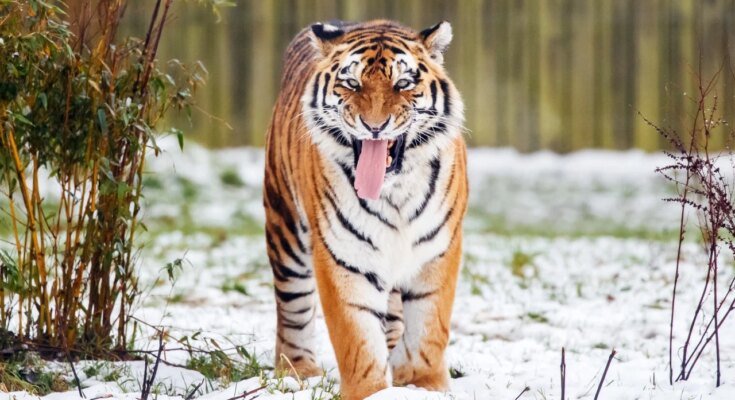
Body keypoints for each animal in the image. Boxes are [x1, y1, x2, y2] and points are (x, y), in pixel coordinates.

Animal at [263, 19, 467, 400]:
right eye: (351, 83)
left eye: (403, 84)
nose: (375, 126)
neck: (395, 192)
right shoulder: (343, 255)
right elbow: (357, 337)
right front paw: (370, 391)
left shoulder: (437, 250)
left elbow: (429, 326)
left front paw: (424, 384)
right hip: (285, 229)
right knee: (293, 307)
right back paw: (298, 372)